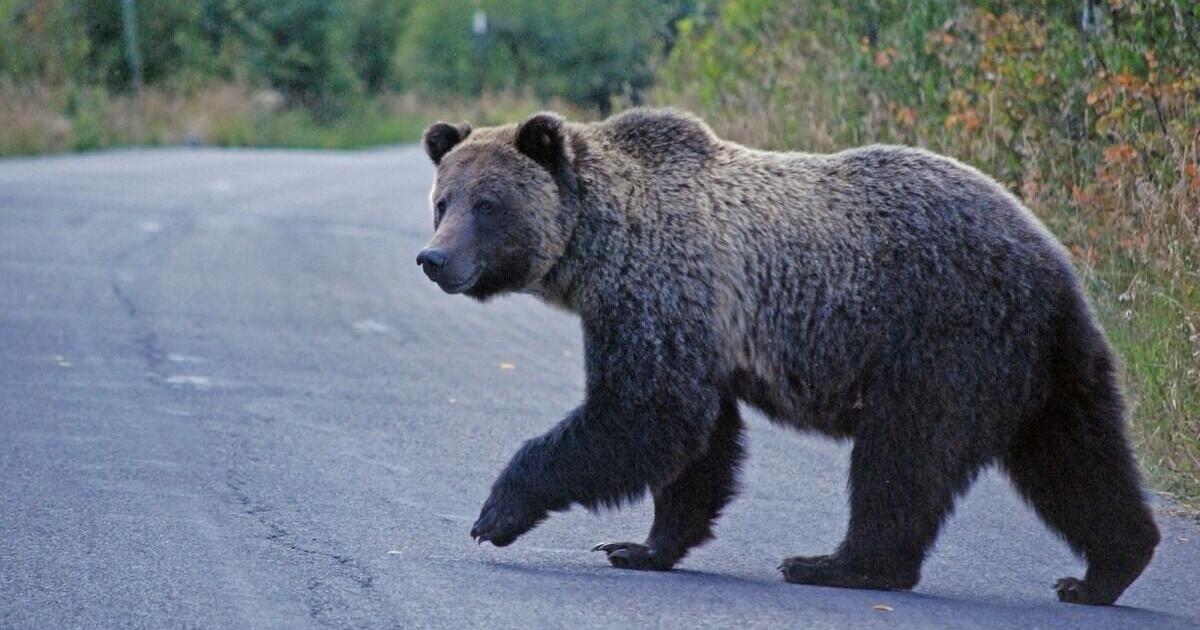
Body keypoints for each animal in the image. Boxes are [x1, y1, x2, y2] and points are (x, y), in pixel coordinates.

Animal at [415, 108, 1160, 605]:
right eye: (442, 201)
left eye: (488, 203)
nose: (433, 259)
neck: (597, 245)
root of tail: (1054, 261)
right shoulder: (701, 328)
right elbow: (698, 443)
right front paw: (642, 546)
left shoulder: (660, 288)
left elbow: (643, 412)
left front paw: (497, 513)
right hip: (1043, 361)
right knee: (1076, 456)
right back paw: (1103, 570)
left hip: (942, 336)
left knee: (904, 455)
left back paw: (837, 563)